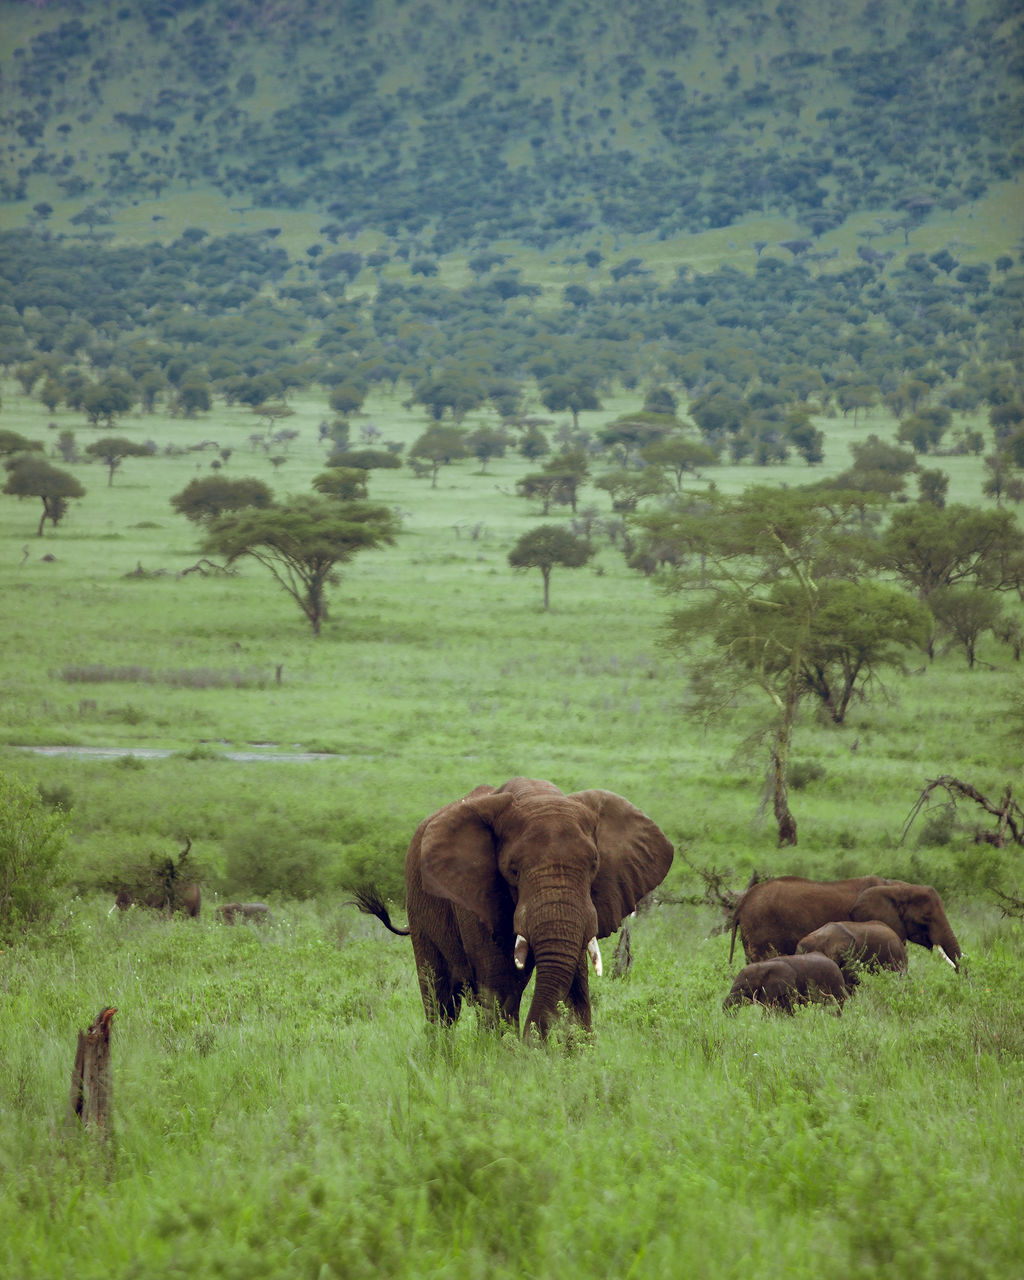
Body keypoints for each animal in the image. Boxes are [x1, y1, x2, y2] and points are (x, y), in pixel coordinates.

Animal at [356, 777, 673, 1038]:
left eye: (594, 865)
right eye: (513, 871)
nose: (530, 1041)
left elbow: (576, 987)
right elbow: (501, 988)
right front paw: (506, 1063)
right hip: (419, 907)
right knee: (442, 1004)